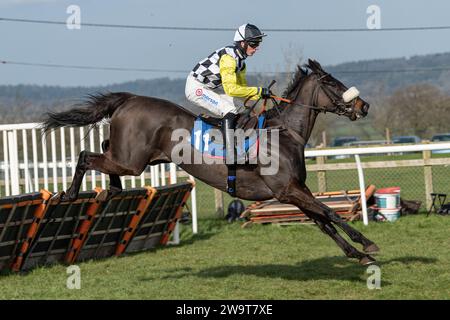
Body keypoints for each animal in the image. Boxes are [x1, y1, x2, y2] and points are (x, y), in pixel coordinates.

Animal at [43, 60, 380, 264]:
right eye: (333, 83)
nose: (364, 106)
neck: (284, 134)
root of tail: (129, 99)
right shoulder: (288, 190)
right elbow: (330, 214)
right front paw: (367, 244)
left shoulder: (294, 191)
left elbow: (324, 222)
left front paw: (357, 253)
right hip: (131, 162)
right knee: (87, 156)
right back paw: (69, 194)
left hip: (132, 159)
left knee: (103, 152)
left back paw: (111, 190)